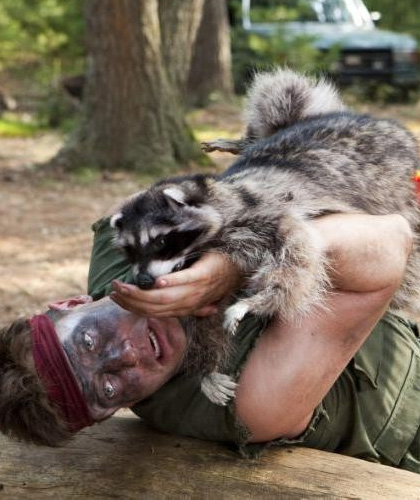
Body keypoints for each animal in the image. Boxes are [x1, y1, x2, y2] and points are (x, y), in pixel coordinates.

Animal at [110, 69, 420, 406]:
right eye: (130, 251)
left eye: (161, 242)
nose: (143, 281)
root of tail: (388, 125)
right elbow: (203, 316)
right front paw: (206, 366)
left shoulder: (268, 214)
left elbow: (298, 256)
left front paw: (258, 301)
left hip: (400, 195)